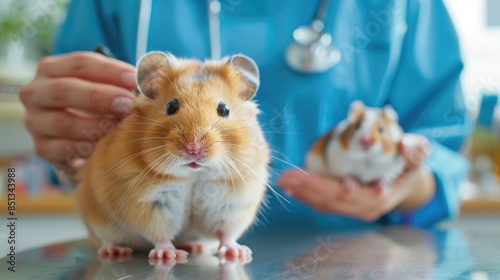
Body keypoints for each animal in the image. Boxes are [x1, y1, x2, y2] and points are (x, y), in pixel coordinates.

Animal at [75, 51, 270, 262]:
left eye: (224, 109)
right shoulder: (148, 201)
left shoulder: (232, 202)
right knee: (108, 240)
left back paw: (195, 246)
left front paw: (238, 253)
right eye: (171, 106)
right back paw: (115, 251)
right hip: (98, 222)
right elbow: (160, 232)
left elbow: (225, 232)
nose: (193, 149)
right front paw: (169, 255)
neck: (195, 174)